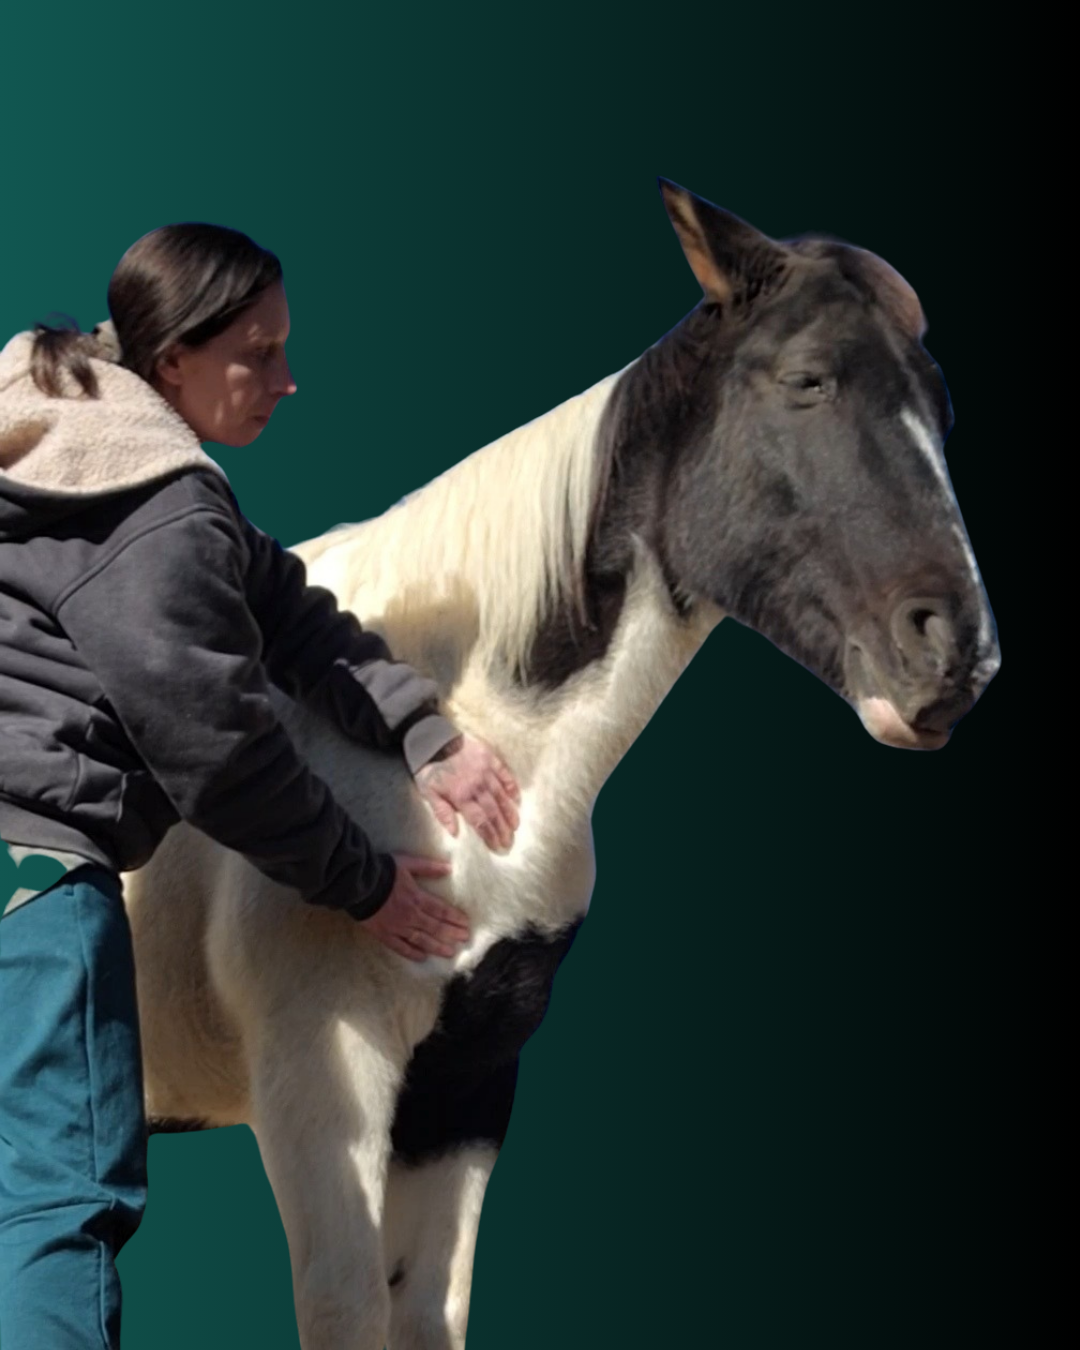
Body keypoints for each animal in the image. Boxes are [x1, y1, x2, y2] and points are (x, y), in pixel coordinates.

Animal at [124, 179, 1000, 1349]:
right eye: (807, 380)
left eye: (940, 408)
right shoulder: (325, 1081)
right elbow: (347, 1307)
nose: (957, 655)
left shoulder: (467, 1080)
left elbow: (428, 1309)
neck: (453, 735)